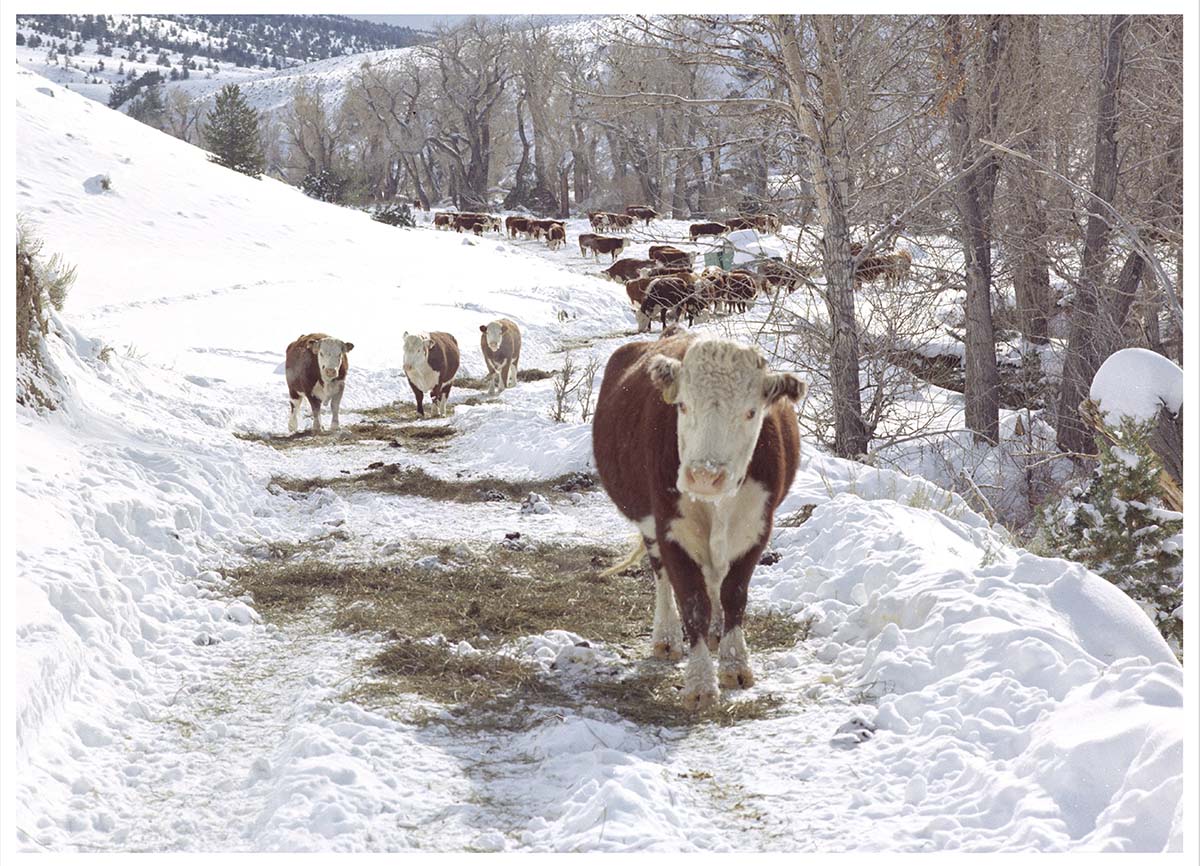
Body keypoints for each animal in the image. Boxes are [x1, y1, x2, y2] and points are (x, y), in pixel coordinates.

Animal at [592, 326, 806, 710]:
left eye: (751, 412)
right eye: (683, 405)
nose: (704, 476)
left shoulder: (756, 527)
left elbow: (734, 594)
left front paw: (735, 664)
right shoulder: (671, 529)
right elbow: (692, 603)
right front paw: (701, 683)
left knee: (716, 580)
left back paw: (717, 633)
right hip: (650, 525)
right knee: (662, 575)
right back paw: (666, 638)